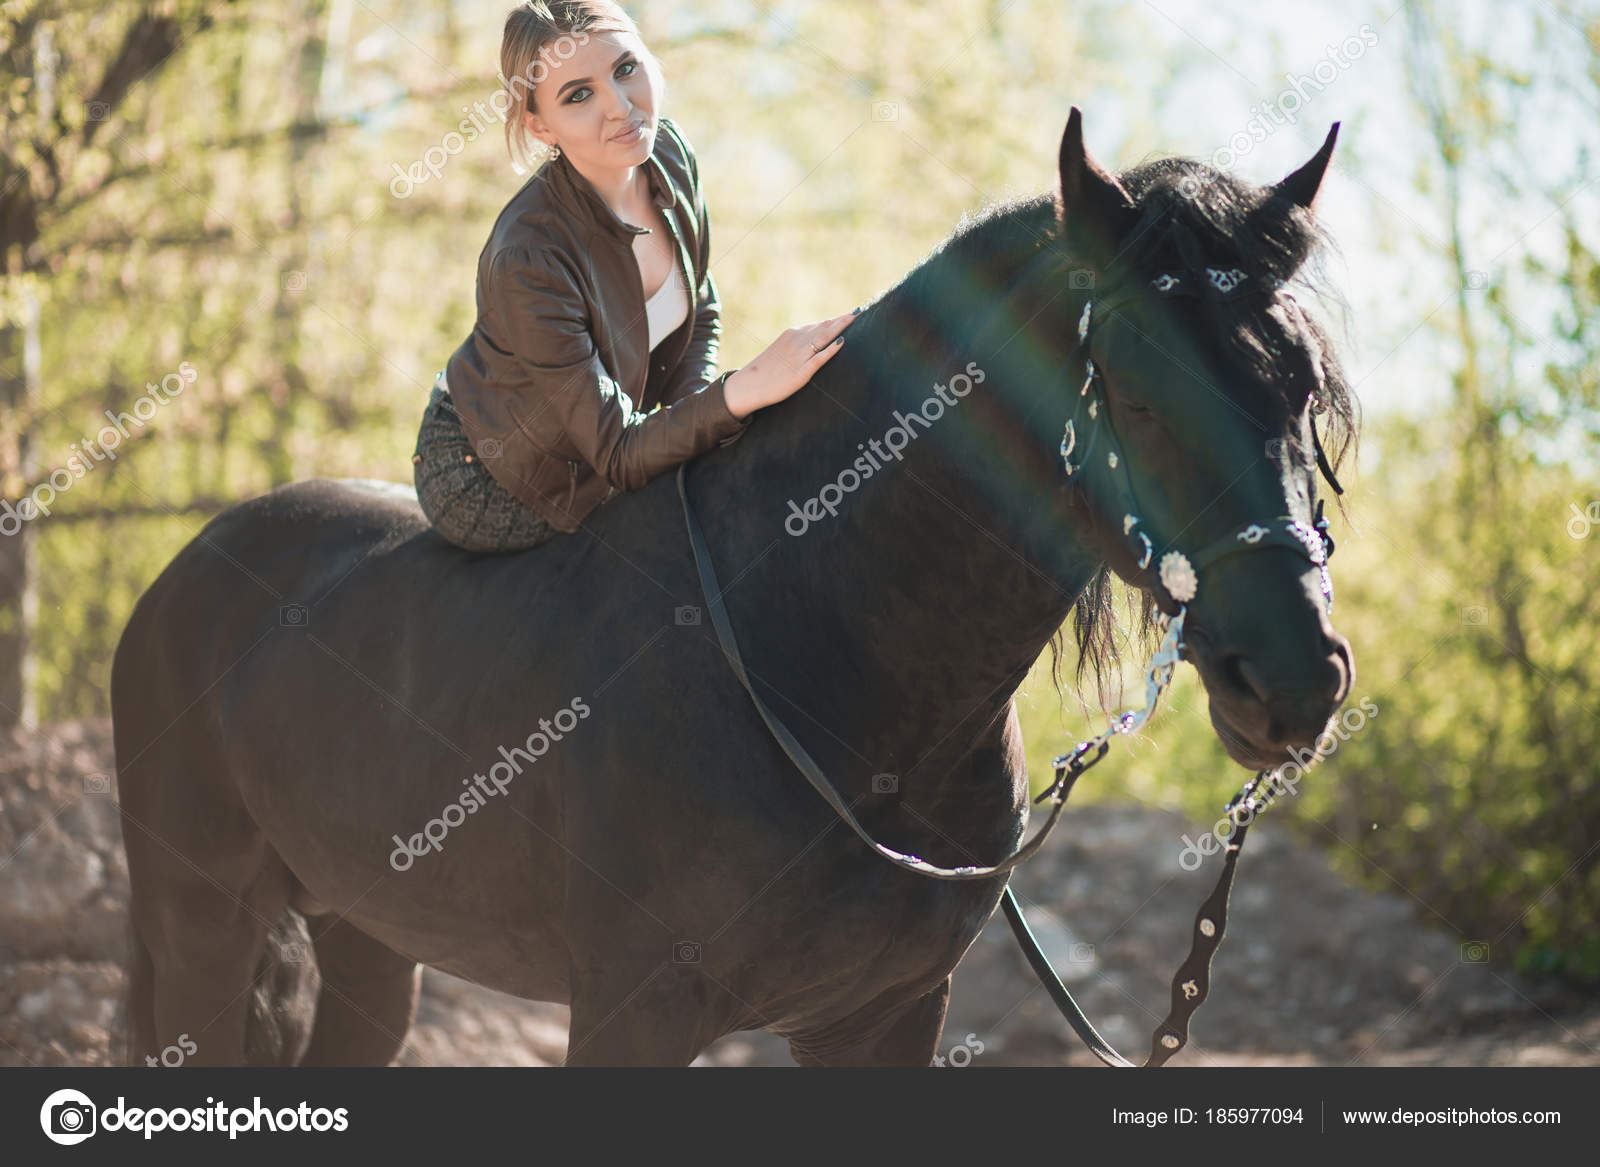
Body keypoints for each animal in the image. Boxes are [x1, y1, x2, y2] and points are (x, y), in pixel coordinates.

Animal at [112, 111, 1356, 1062]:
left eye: (1300, 385)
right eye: (1135, 390)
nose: (1294, 681)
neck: (829, 665)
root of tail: (180, 579)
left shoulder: (889, 1017)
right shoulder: (633, 1015)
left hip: (370, 937)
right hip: (200, 920)